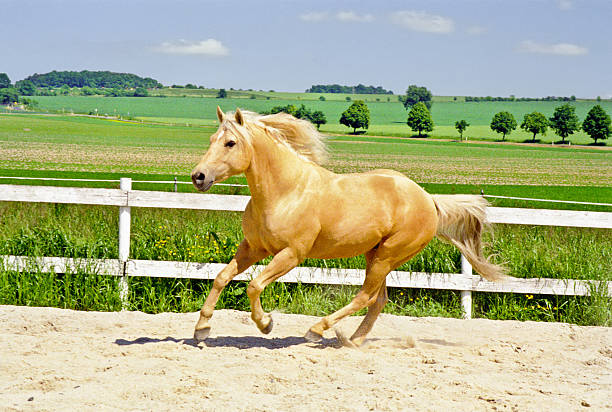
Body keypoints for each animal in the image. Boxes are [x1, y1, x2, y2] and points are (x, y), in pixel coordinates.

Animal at [191, 107, 506, 348]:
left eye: (230, 143)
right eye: (212, 138)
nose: (198, 176)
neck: (285, 192)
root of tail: (429, 199)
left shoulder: (292, 254)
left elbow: (254, 285)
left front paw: (266, 323)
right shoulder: (254, 248)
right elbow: (221, 277)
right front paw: (201, 330)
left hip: (388, 256)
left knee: (366, 297)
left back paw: (317, 331)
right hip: (375, 254)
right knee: (378, 300)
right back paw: (354, 341)